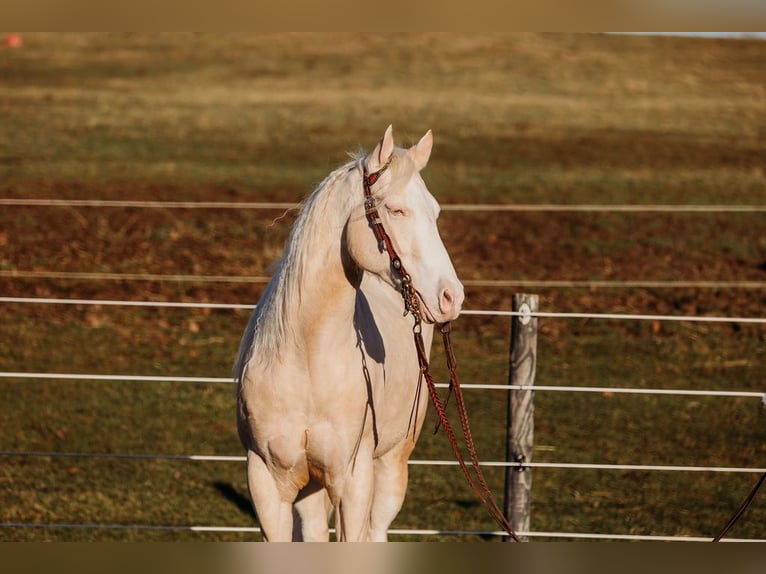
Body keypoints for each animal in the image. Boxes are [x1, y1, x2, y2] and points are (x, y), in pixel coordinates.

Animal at [234, 125, 464, 541]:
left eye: (435, 212)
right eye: (396, 209)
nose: (451, 297)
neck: (306, 359)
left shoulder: (354, 482)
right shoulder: (266, 483)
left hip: (391, 465)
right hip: (310, 488)